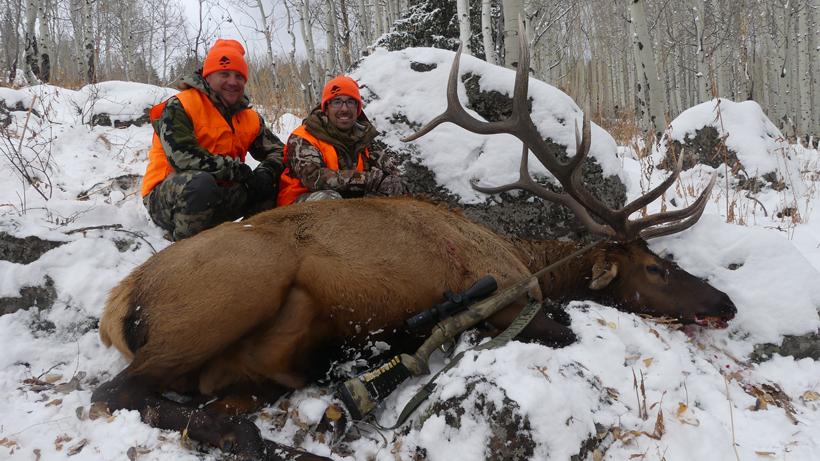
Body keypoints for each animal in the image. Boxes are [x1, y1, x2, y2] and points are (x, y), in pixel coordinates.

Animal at [92, 30, 737, 461]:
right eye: (654, 268)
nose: (724, 302)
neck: (529, 258)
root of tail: (121, 305)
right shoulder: (504, 293)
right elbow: (563, 326)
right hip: (228, 295)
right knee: (117, 390)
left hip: (252, 375)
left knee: (204, 409)